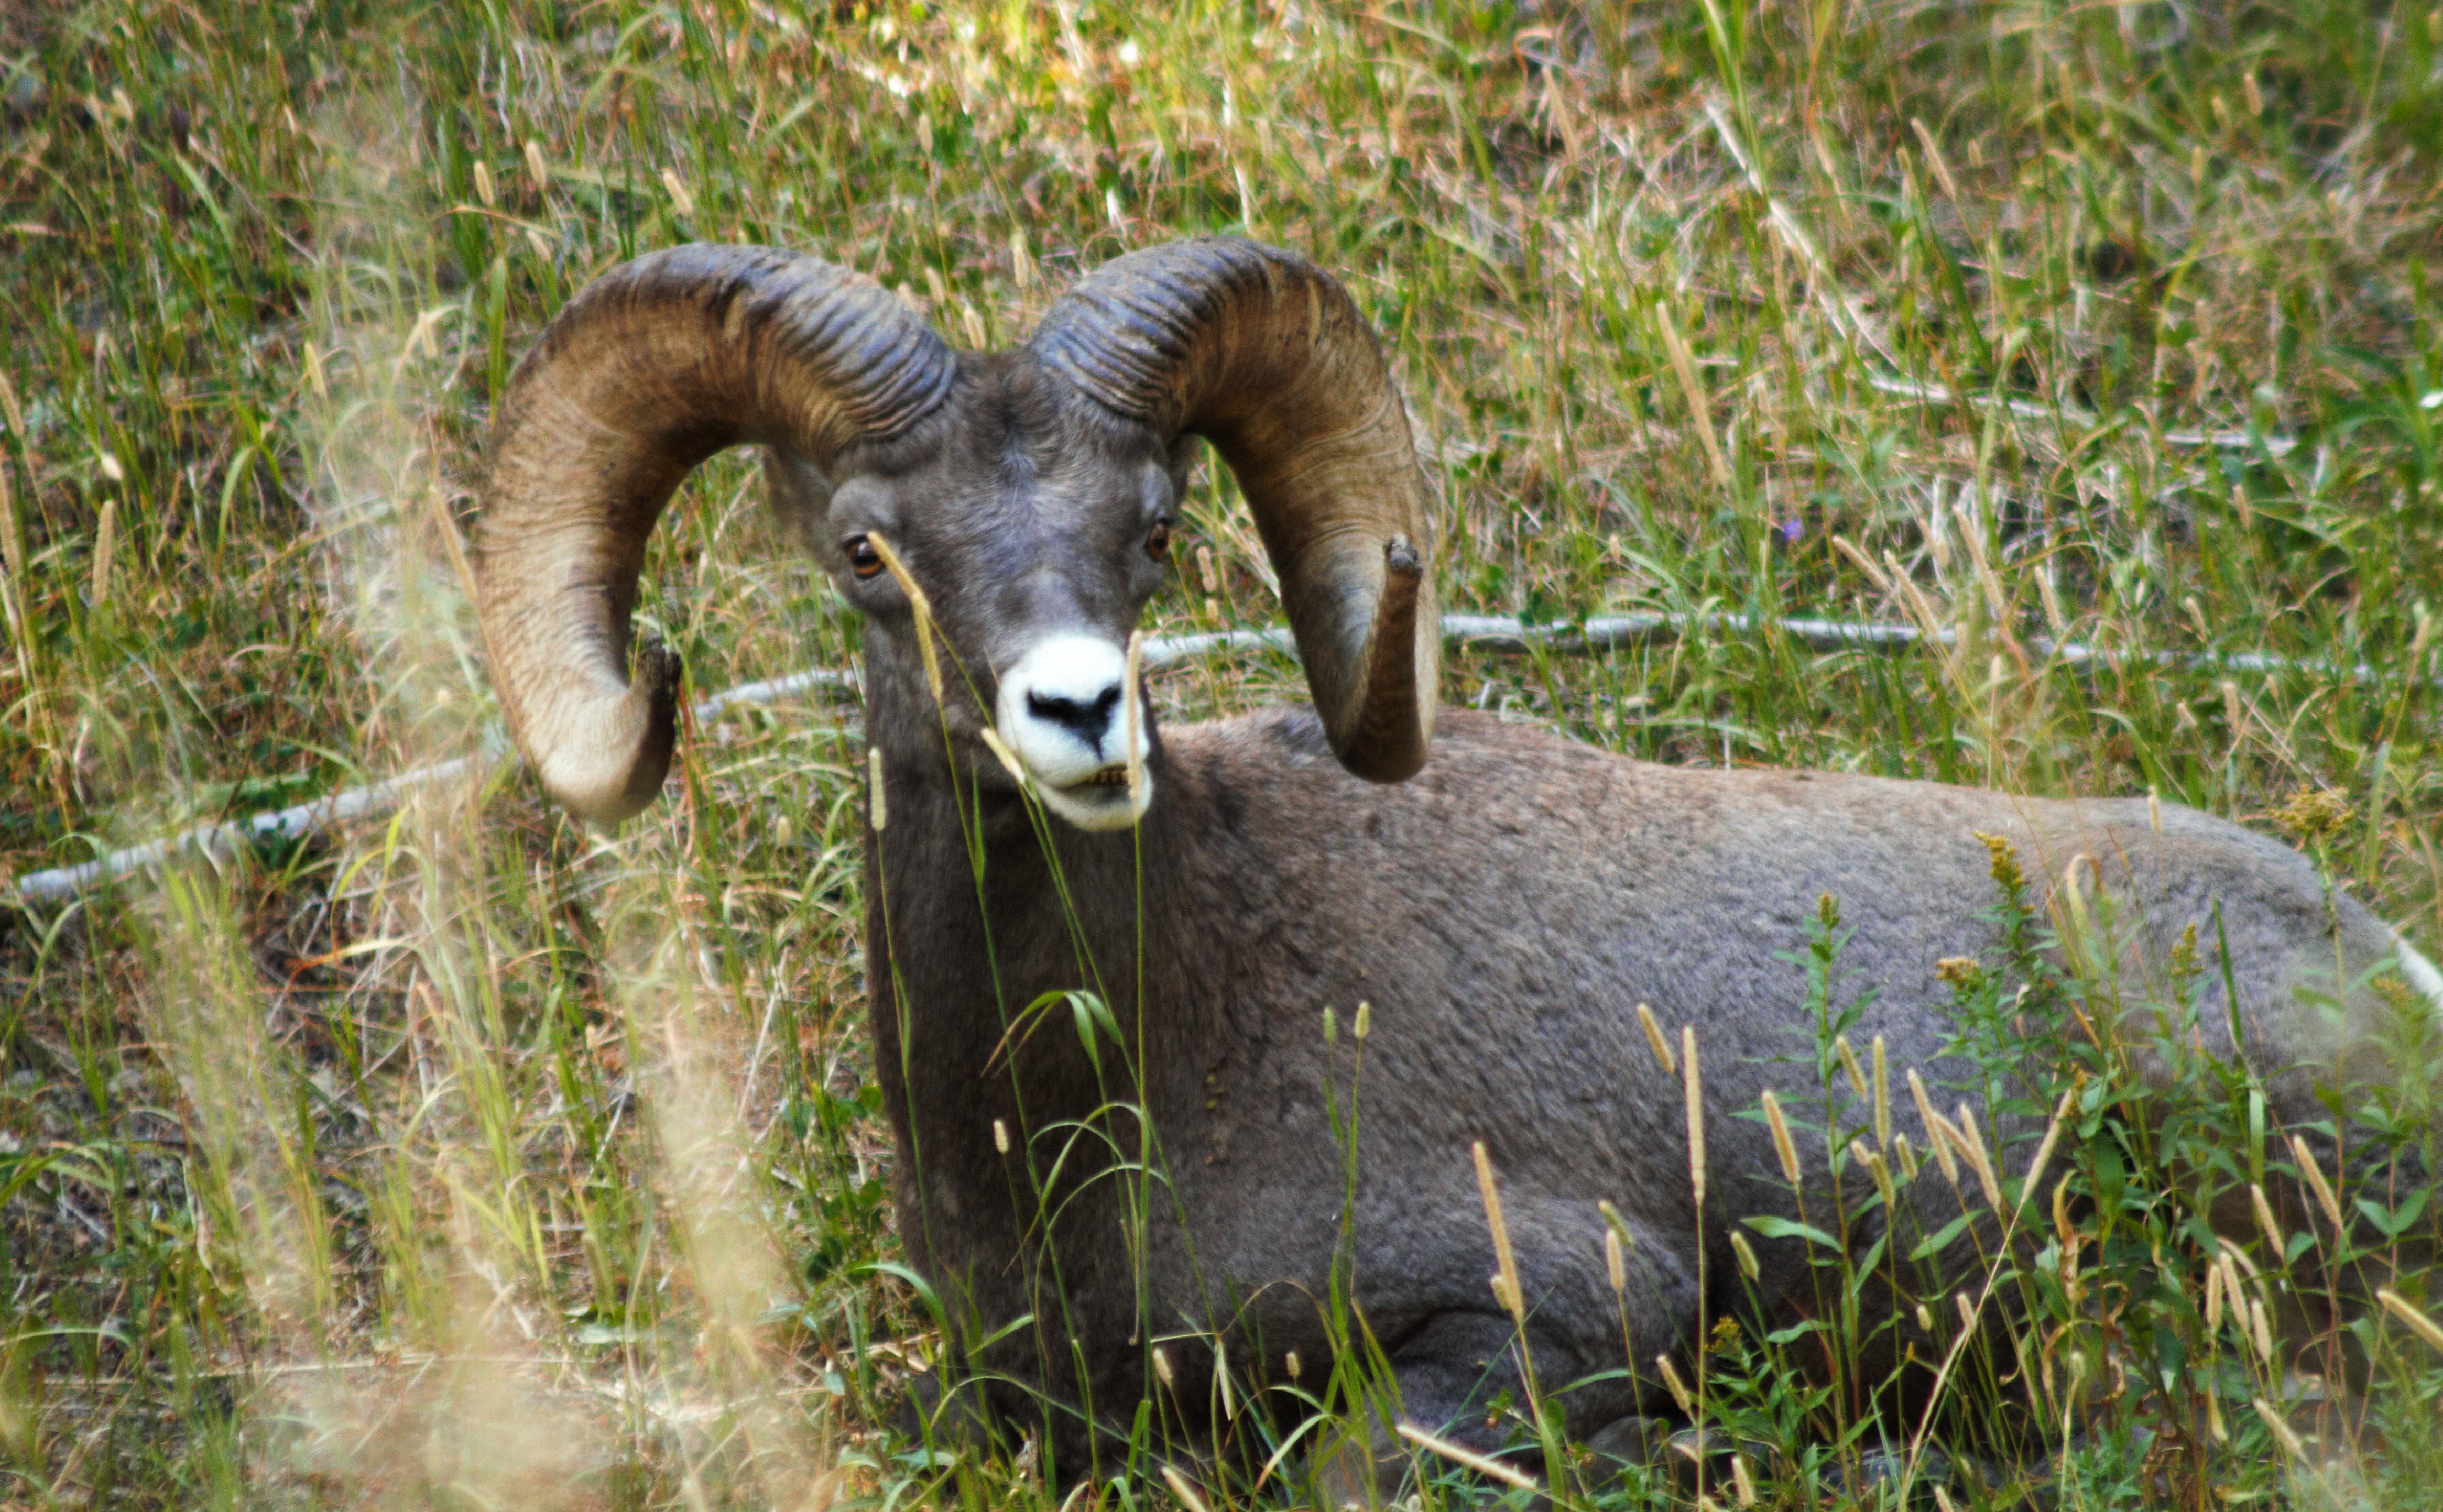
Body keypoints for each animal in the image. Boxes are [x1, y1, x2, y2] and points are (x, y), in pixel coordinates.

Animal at [475, 236, 2443, 1493]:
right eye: (867, 550)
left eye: (1155, 529)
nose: (1080, 713)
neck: (1098, 1111)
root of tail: (2383, 975)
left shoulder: (1553, 1315)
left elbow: (1349, 1472)